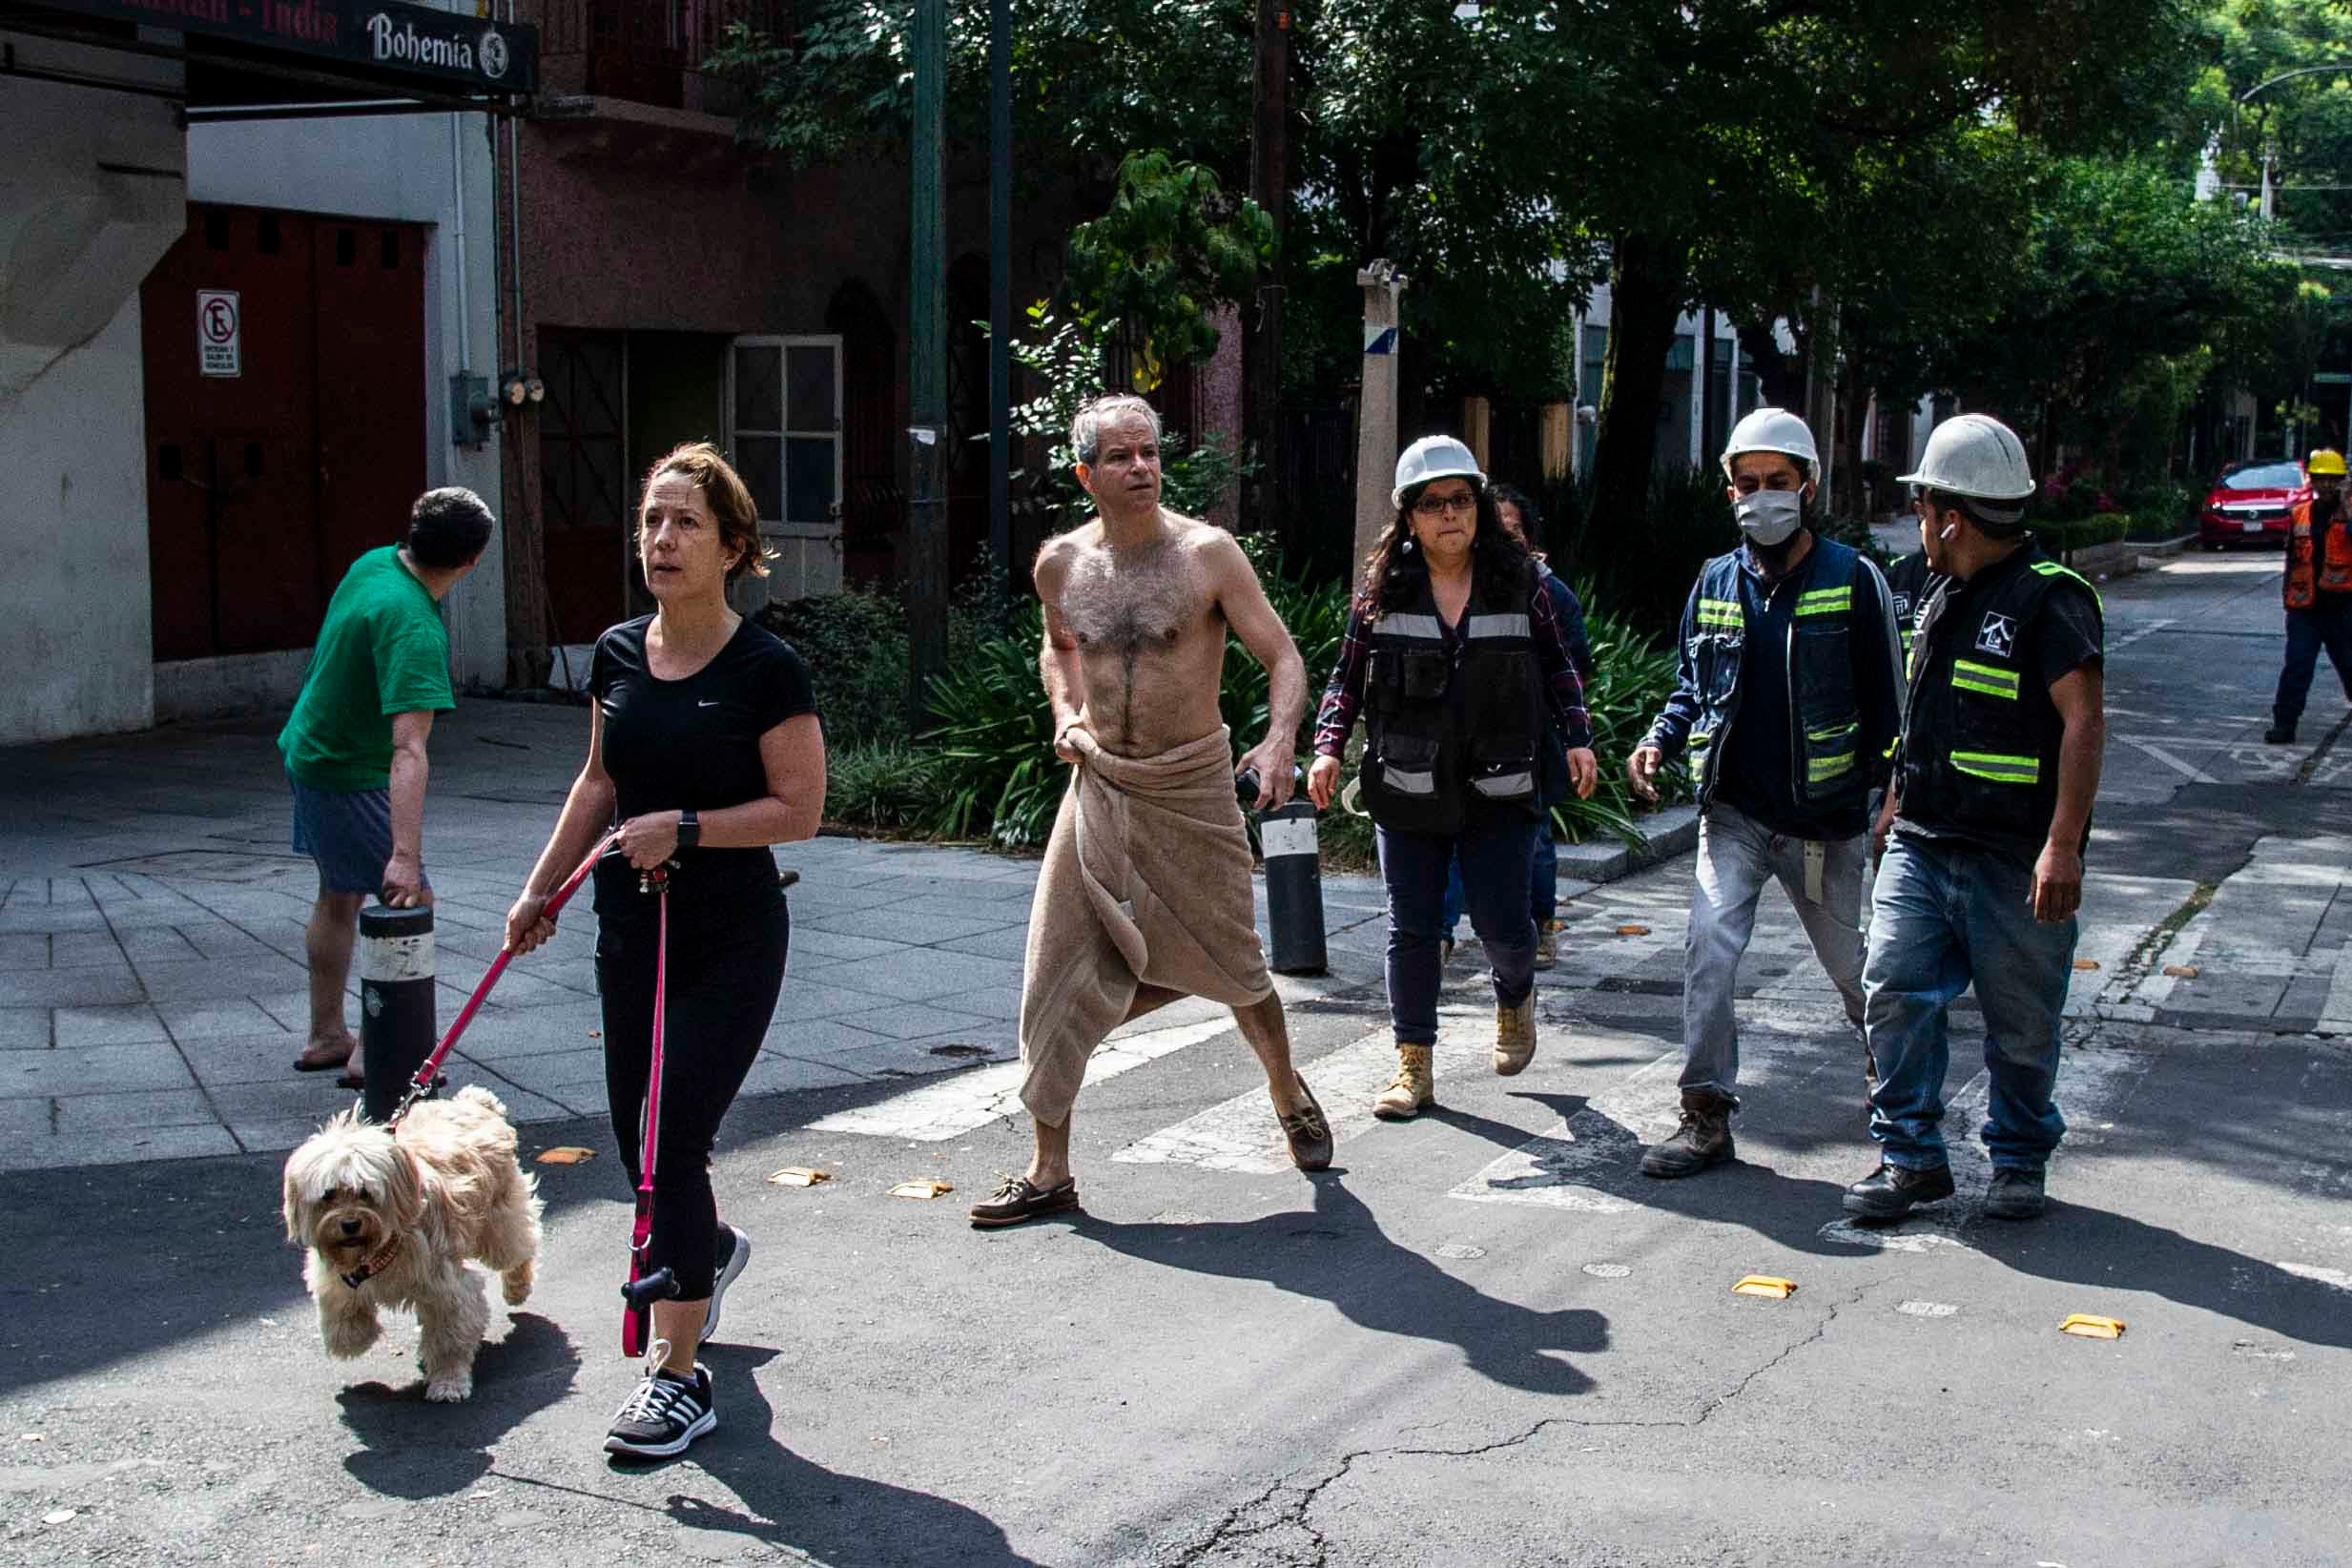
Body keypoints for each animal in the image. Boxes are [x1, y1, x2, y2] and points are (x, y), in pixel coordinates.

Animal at [281, 1085, 543, 1401]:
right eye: (328, 1194)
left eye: (365, 1192)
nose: (350, 1224)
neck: (381, 1247)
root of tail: (476, 1103)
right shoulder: (337, 1277)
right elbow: (343, 1314)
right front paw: (352, 1340)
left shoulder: (446, 1288)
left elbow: (449, 1337)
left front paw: (448, 1381)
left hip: (499, 1221)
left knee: (521, 1245)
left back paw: (518, 1287)